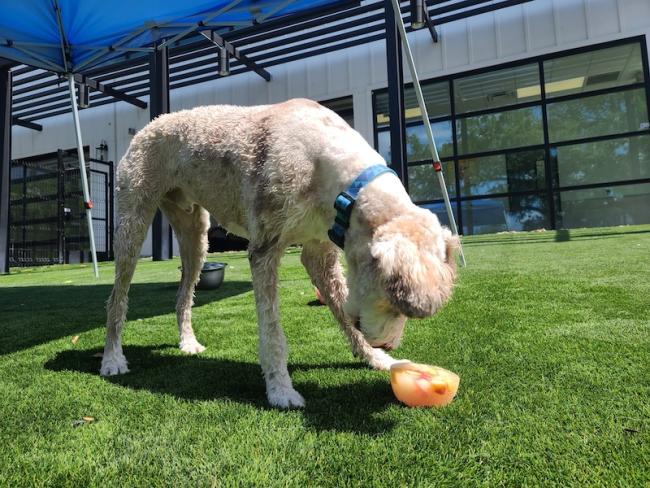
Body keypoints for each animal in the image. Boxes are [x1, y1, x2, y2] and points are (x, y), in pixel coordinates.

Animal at [101, 98, 456, 408]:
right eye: (393, 304)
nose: (387, 343)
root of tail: (150, 124)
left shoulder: (320, 251)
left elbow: (342, 309)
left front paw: (376, 359)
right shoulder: (264, 249)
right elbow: (273, 332)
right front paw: (281, 391)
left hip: (194, 233)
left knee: (183, 294)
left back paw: (187, 343)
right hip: (133, 222)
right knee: (117, 297)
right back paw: (112, 359)